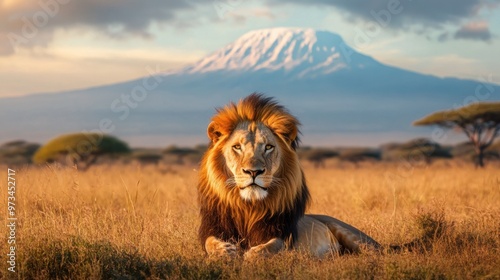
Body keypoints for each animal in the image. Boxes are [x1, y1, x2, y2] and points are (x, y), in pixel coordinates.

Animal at [197, 93, 380, 258]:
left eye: (268, 147)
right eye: (237, 147)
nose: (253, 172)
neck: (249, 207)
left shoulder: (284, 234)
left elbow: (271, 246)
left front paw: (252, 254)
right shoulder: (213, 227)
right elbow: (209, 242)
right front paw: (225, 251)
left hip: (353, 236)